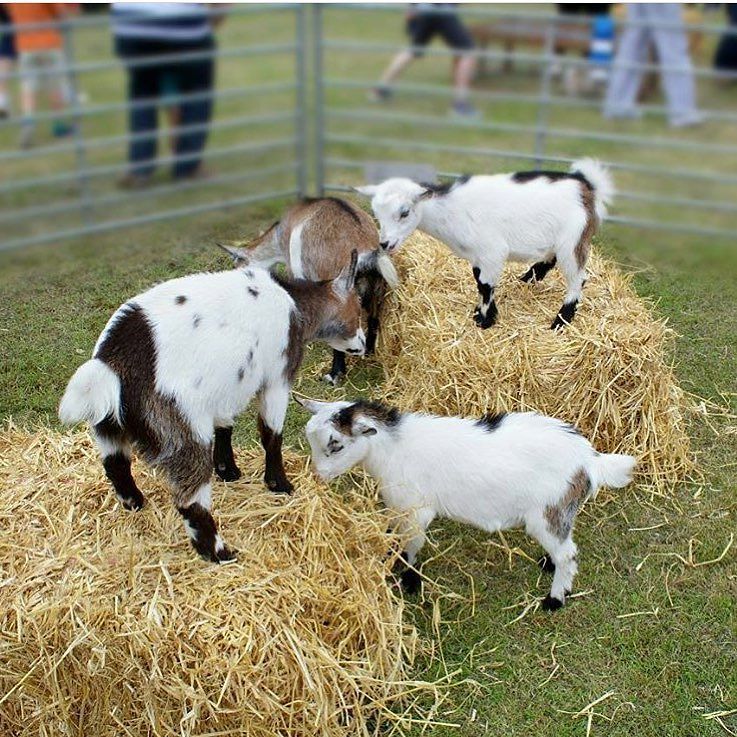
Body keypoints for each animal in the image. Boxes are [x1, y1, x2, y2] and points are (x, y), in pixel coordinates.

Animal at [59, 256, 364, 564]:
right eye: (358, 308)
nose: (363, 345)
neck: (294, 303)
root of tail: (111, 364)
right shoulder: (277, 377)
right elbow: (271, 433)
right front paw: (279, 484)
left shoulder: (227, 385)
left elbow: (225, 422)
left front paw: (228, 470)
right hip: (183, 427)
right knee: (190, 499)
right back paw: (220, 553)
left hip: (107, 424)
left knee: (115, 464)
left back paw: (135, 503)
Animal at [299, 397, 635, 610]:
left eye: (336, 445)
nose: (316, 476)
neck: (392, 450)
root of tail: (588, 460)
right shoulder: (398, 507)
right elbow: (394, 535)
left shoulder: (418, 510)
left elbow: (411, 545)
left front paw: (409, 581)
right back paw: (548, 564)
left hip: (547, 512)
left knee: (568, 554)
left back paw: (554, 599)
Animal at [355, 159, 614, 330]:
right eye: (376, 213)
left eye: (405, 212)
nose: (385, 243)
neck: (450, 211)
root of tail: (586, 185)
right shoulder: (478, 256)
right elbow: (479, 281)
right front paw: (484, 313)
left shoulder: (492, 251)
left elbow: (486, 285)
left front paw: (484, 320)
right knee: (550, 259)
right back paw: (528, 278)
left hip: (573, 239)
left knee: (578, 278)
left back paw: (561, 320)